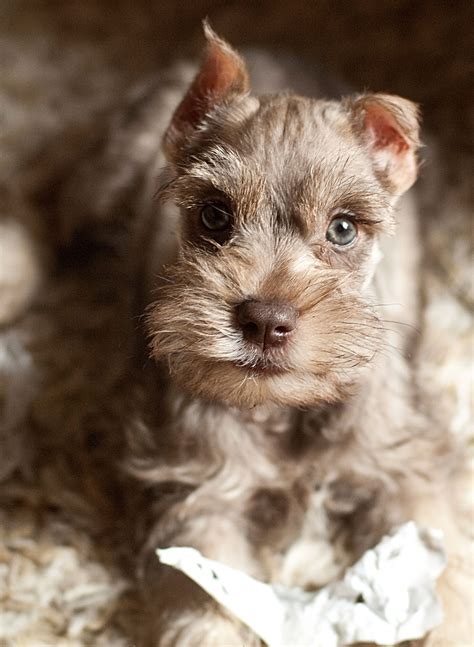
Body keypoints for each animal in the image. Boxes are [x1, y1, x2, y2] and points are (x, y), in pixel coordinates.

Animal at [131, 26, 470, 647]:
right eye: (214, 215)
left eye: (343, 228)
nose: (265, 321)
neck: (286, 410)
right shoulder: (206, 497)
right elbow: (209, 604)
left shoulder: (407, 473)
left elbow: (444, 575)